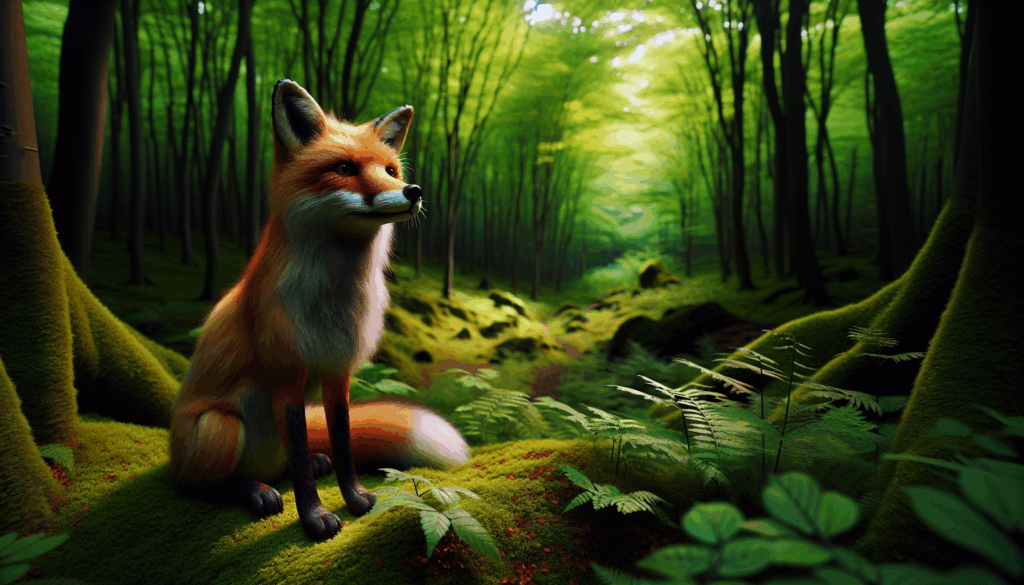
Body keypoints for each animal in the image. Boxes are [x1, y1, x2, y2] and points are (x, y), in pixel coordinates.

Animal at [169, 79, 469, 541]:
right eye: (344, 168)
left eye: (391, 171)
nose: (413, 192)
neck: (335, 301)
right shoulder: (286, 377)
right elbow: (301, 465)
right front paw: (314, 519)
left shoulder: (337, 372)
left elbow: (343, 446)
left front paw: (356, 498)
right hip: (219, 429)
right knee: (207, 485)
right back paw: (254, 490)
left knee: (294, 459)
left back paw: (304, 464)